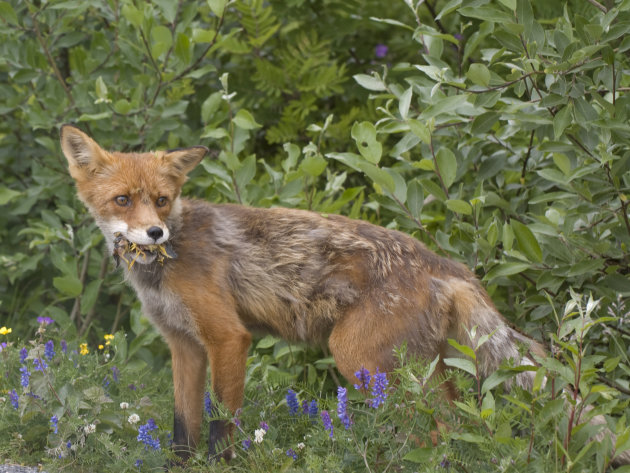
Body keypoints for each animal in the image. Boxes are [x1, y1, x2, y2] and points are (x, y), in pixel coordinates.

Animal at [60, 124, 630, 464]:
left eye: (162, 199)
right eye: (123, 200)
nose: (155, 233)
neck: (164, 269)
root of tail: (446, 264)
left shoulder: (227, 339)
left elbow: (223, 425)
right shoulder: (184, 345)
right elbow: (183, 428)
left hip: (359, 358)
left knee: (435, 429)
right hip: (421, 366)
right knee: (454, 422)